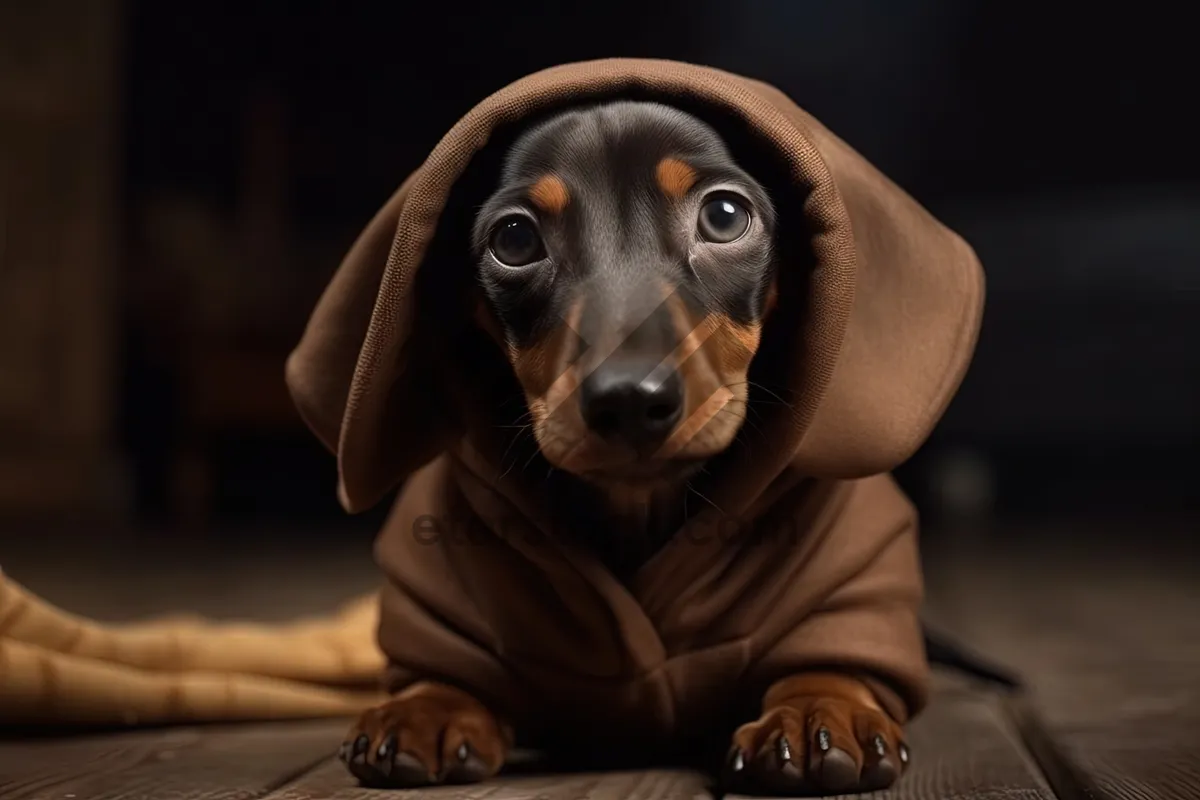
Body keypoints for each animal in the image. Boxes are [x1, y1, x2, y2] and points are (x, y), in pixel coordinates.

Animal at [338, 100, 907, 796]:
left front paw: (818, 707)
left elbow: (831, 646)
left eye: (724, 216)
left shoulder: (848, 576)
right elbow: (445, 656)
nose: (631, 400)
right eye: (514, 240)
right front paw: (429, 705)